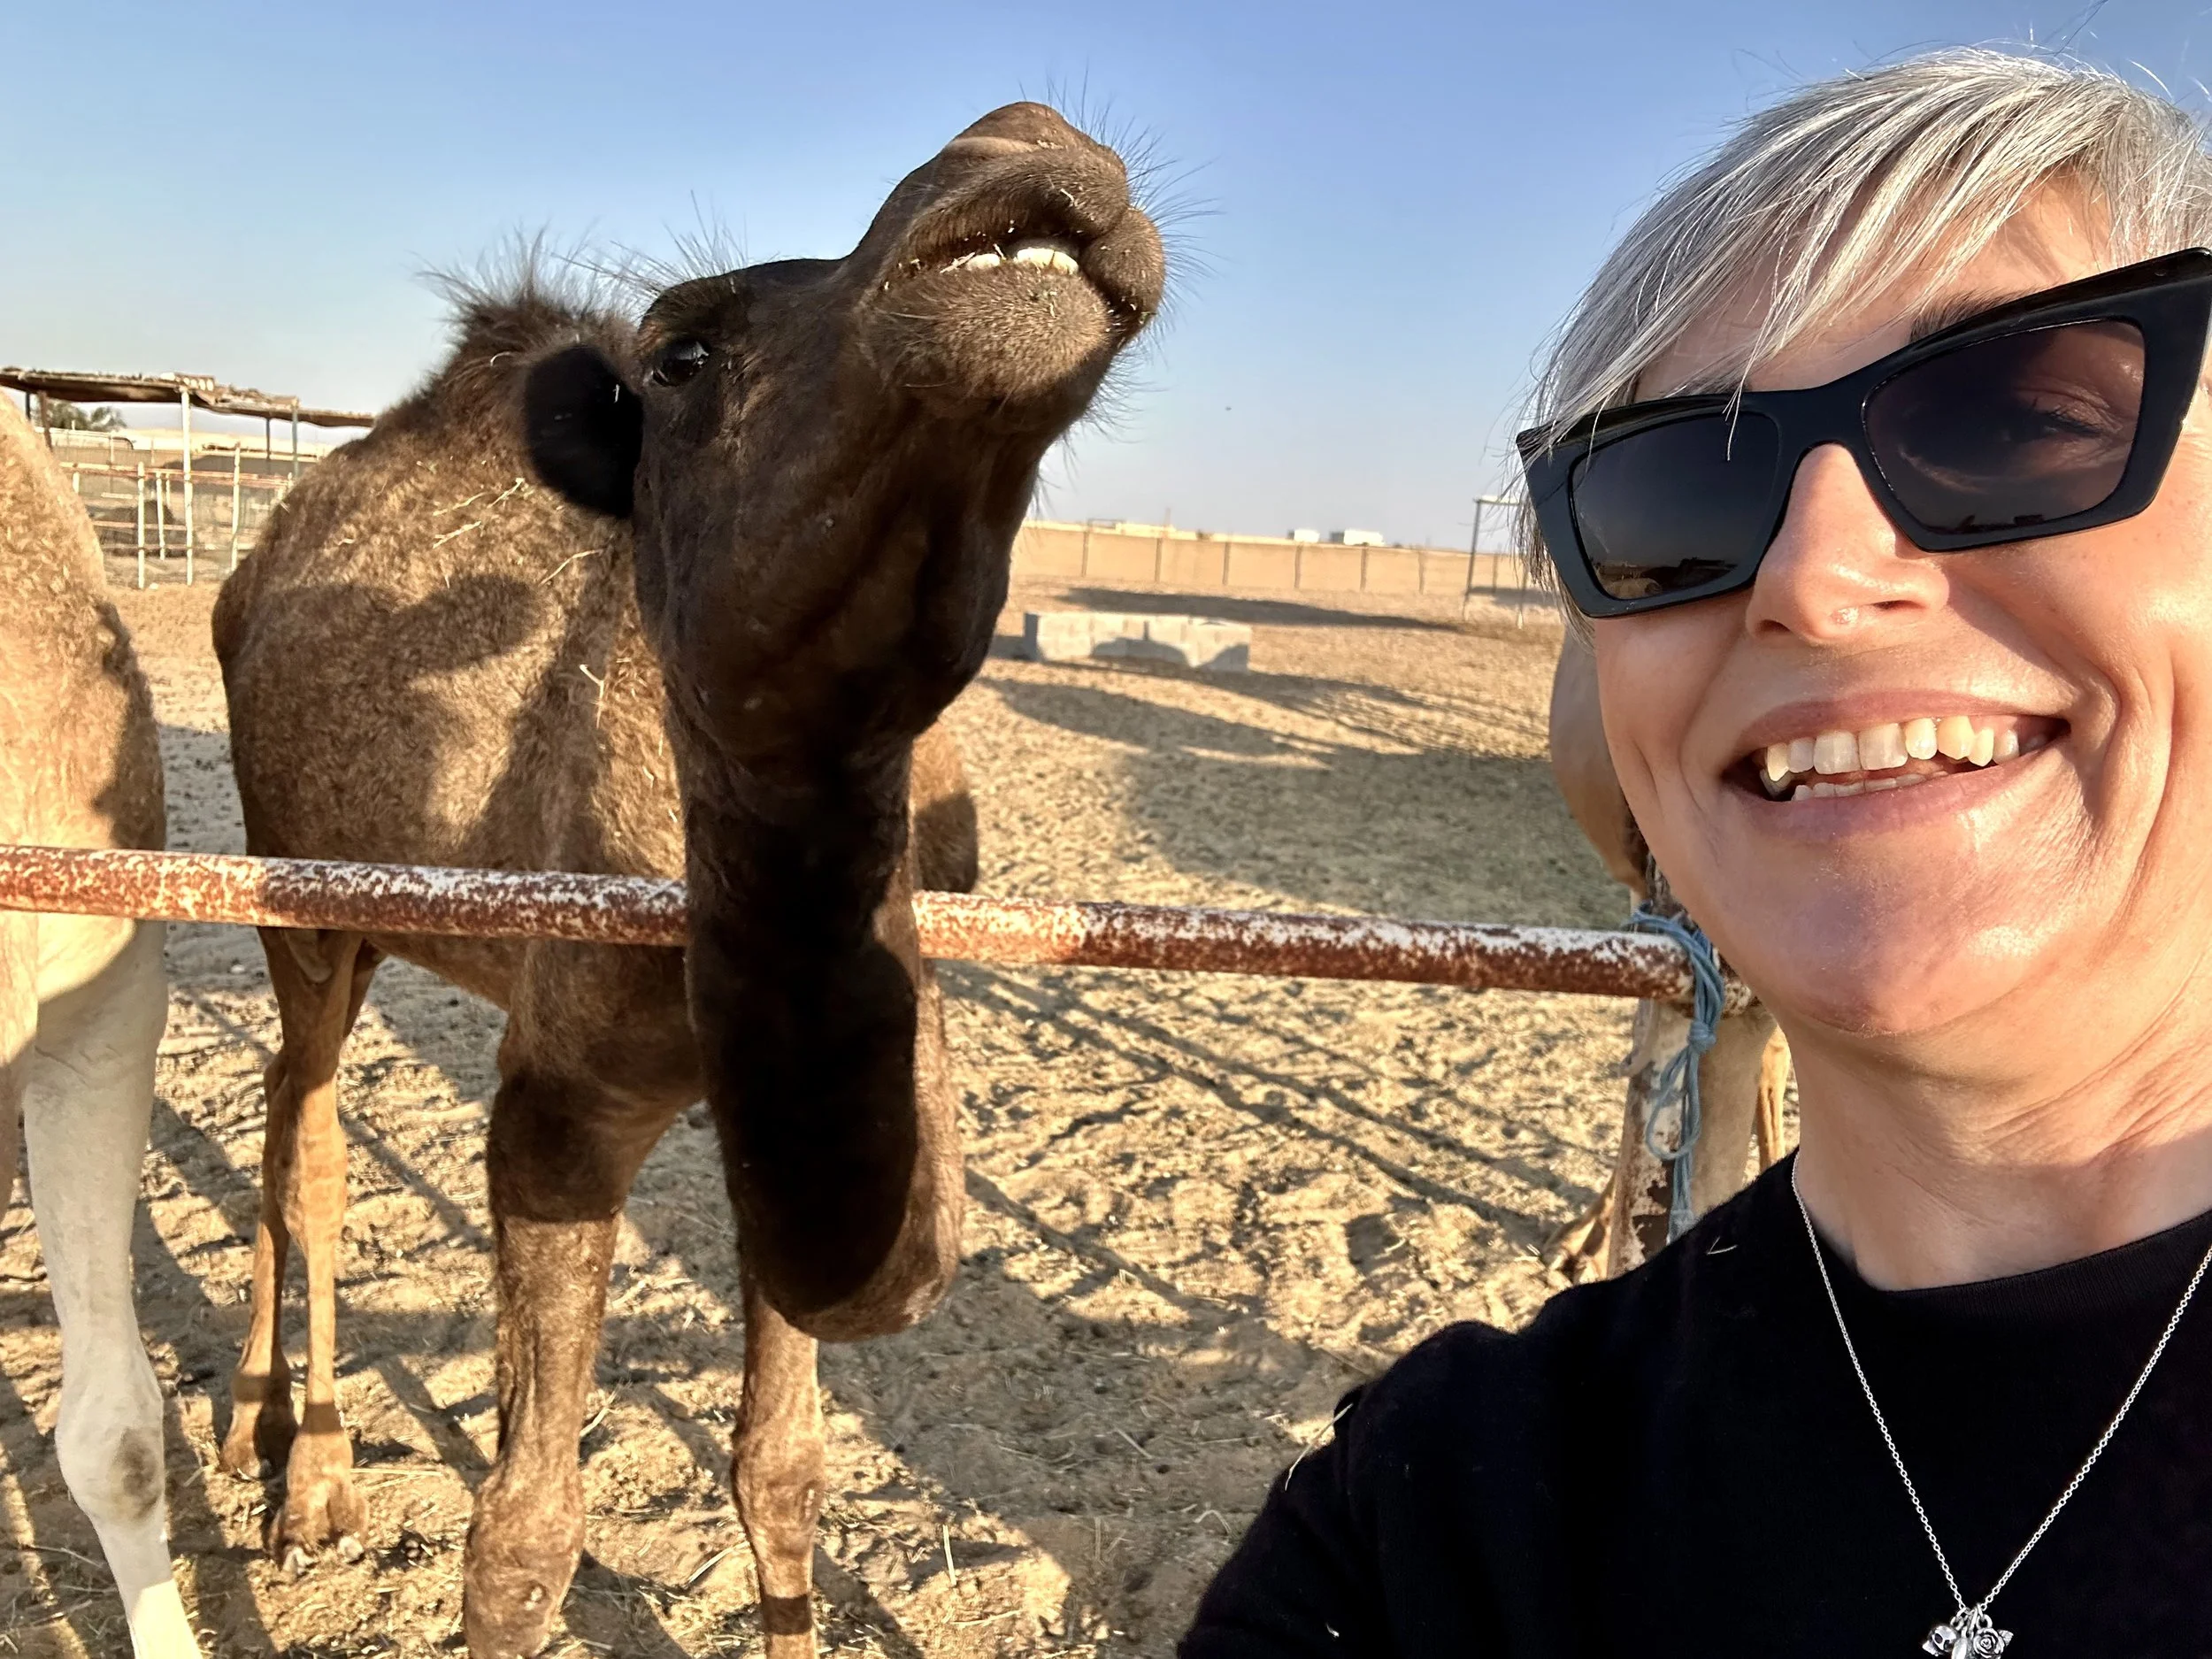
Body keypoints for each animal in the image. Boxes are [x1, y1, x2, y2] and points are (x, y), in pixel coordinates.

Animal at [209, 102, 1162, 1658]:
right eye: (679, 355)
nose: (1018, 147)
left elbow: (782, 1462)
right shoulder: (560, 1106)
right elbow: (523, 1537)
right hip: (299, 893)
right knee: (308, 1136)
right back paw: (303, 1469)